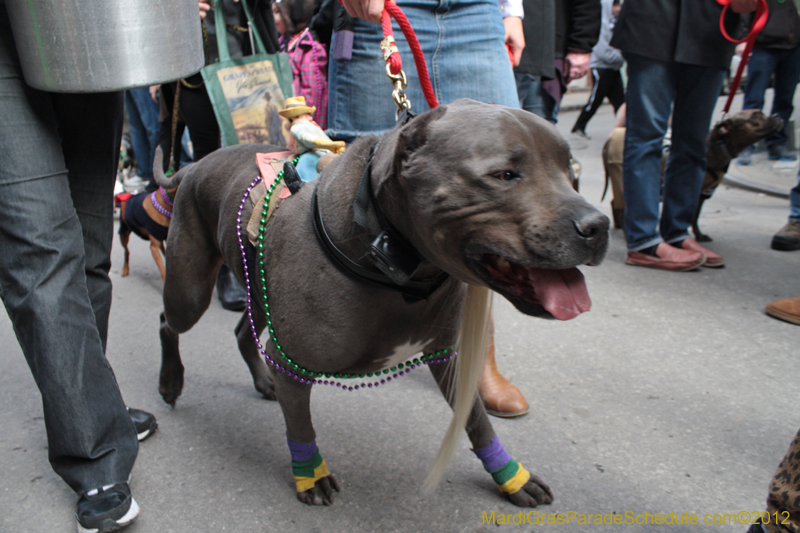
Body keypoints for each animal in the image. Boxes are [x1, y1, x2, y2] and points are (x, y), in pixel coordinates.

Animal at [155, 98, 608, 508]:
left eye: (571, 173)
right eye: (505, 175)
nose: (598, 225)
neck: (397, 266)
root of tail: (194, 164)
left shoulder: (447, 356)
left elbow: (477, 420)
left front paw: (512, 477)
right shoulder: (293, 362)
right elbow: (301, 427)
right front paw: (310, 475)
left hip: (259, 290)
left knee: (242, 332)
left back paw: (263, 380)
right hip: (189, 292)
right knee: (167, 321)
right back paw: (170, 381)